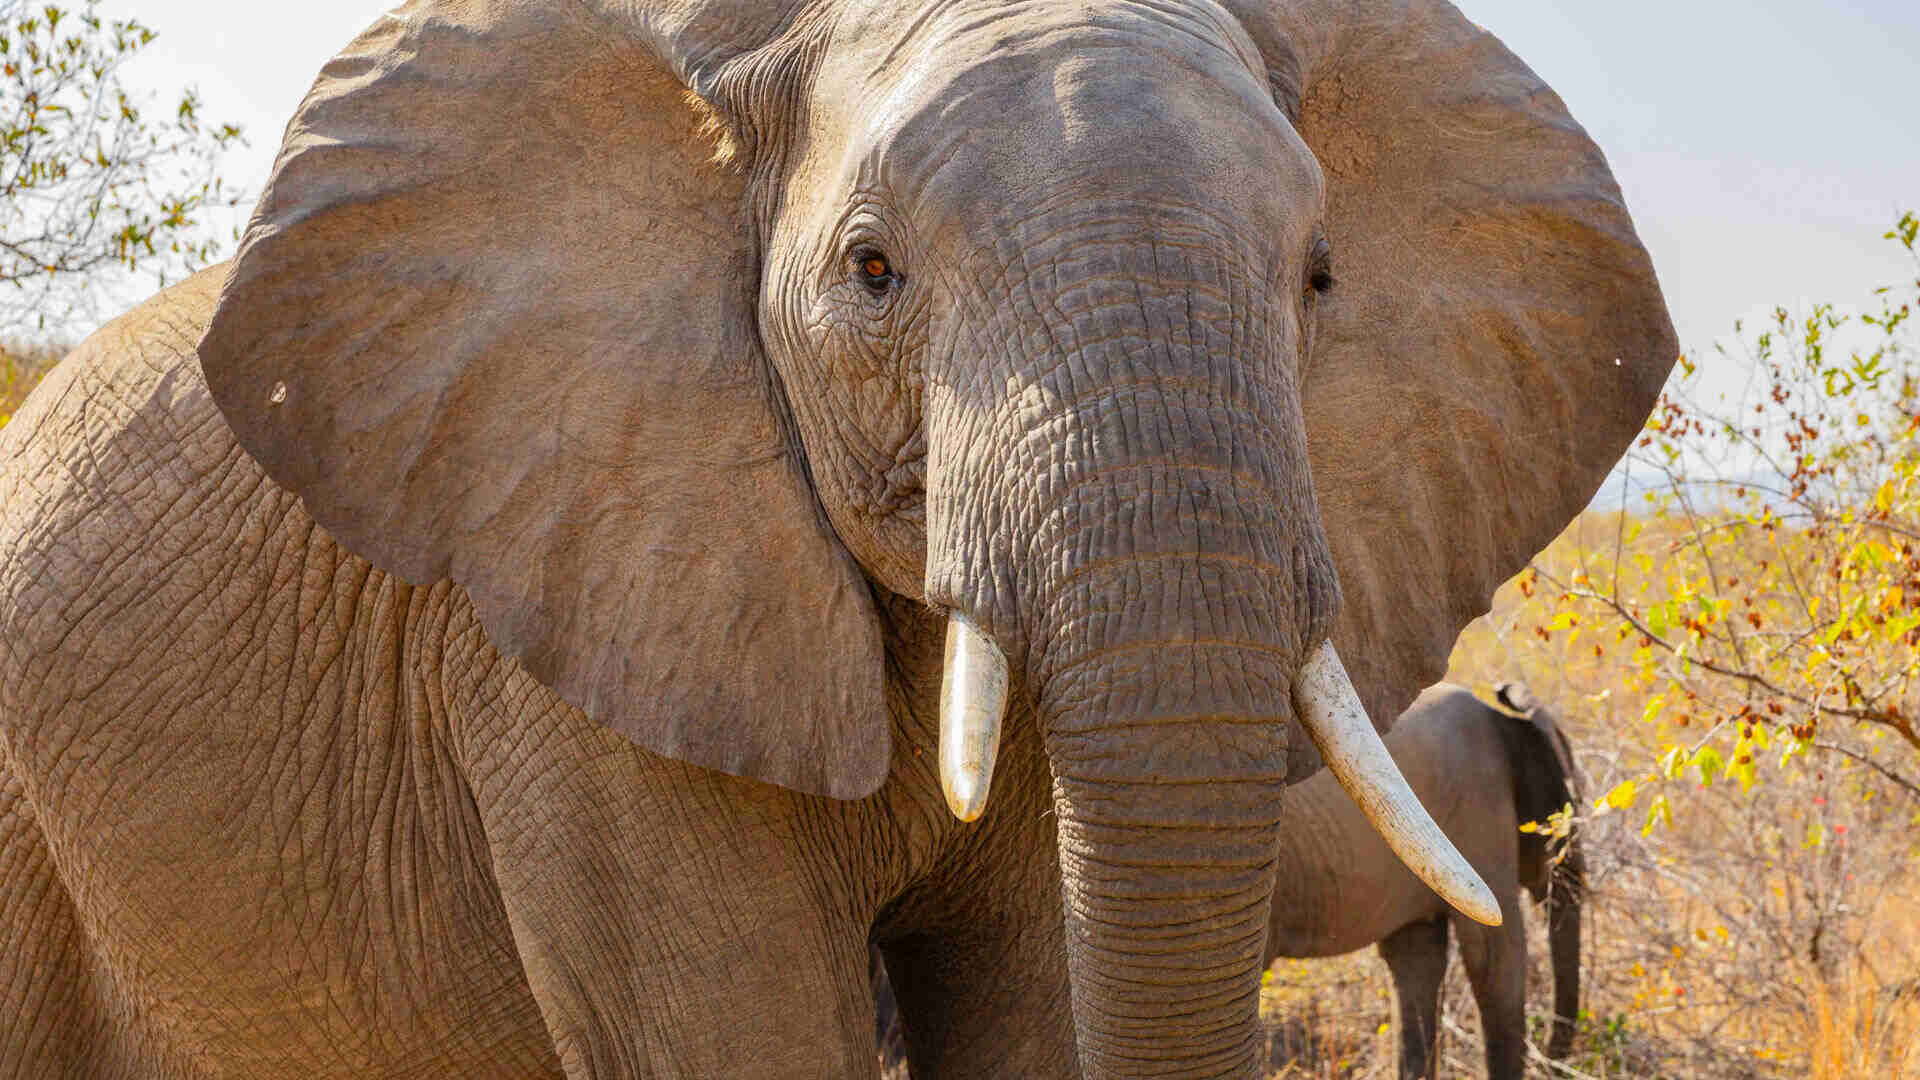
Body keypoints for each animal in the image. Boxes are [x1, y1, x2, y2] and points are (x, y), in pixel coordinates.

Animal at [872, 682, 1585, 1079]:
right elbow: (1491, 958)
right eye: (1564, 812)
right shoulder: (1474, 806)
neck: (1504, 720)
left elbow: (1419, 959)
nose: (1565, 1062)